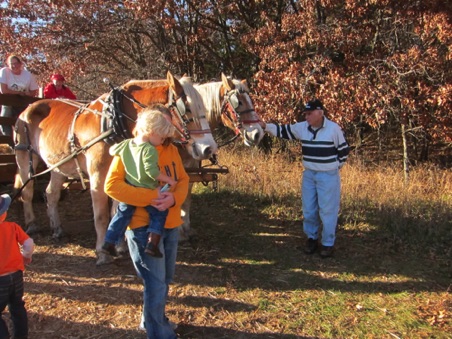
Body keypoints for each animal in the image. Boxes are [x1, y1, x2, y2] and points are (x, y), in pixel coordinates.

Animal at [15, 72, 217, 266]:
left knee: (51, 194)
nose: (209, 148)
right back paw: (31, 224)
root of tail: (28, 108)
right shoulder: (98, 177)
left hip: (58, 165)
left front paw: (119, 246)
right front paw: (102, 252)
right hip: (24, 156)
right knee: (27, 191)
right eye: (187, 109)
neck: (113, 122)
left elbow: (117, 211)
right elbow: (102, 215)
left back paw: (57, 229)